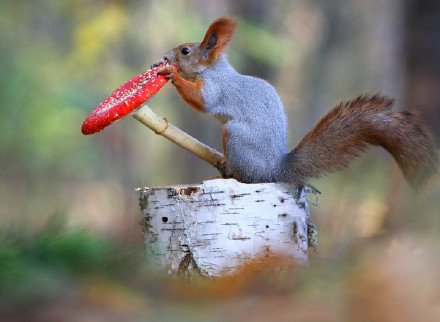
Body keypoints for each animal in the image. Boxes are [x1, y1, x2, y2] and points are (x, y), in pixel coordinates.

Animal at [154, 16, 436, 189]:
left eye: (185, 51)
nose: (164, 56)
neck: (214, 70)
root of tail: (274, 172)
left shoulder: (216, 89)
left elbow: (203, 101)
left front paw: (173, 75)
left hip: (235, 135)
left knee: (247, 177)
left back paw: (229, 174)